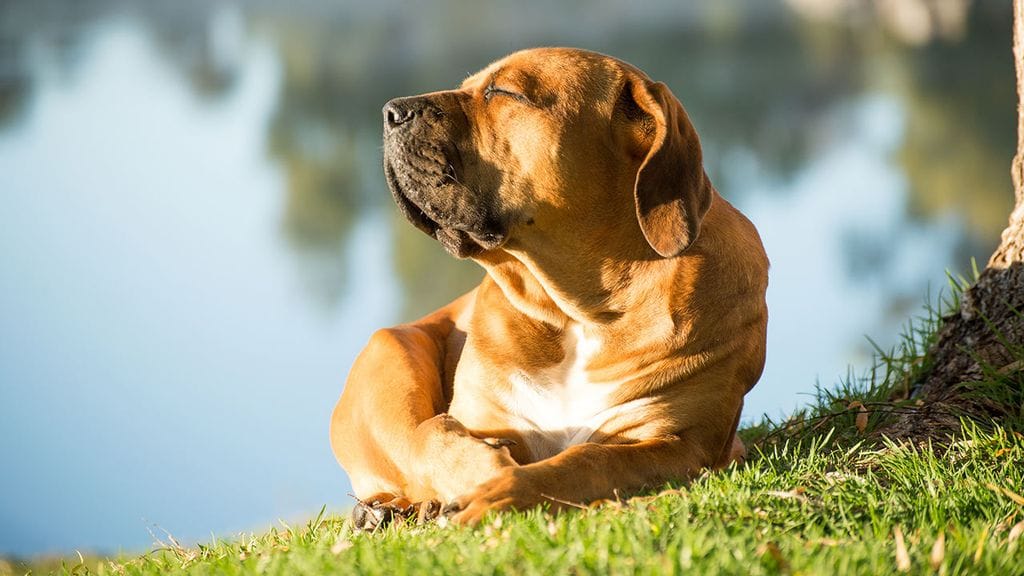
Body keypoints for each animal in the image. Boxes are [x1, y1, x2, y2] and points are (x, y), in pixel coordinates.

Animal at [329, 47, 770, 528]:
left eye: (504, 92)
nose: (392, 111)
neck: (576, 312)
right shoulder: (481, 417)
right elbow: (434, 436)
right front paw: (480, 471)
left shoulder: (681, 442)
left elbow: (588, 461)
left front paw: (502, 490)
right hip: (391, 351)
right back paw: (384, 510)